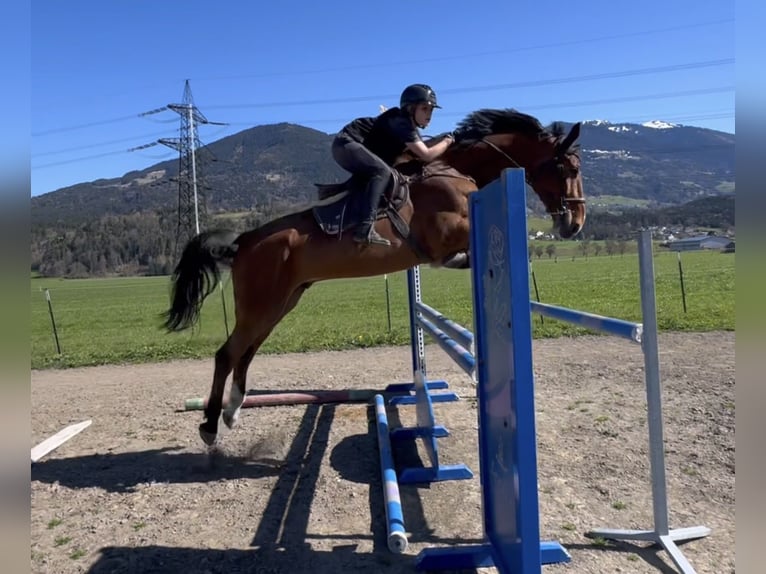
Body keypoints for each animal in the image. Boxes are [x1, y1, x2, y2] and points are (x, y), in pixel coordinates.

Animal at [164, 108, 585, 445]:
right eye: (569, 168)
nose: (575, 224)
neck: (455, 169)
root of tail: (244, 241)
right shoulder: (446, 232)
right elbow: (466, 247)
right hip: (261, 303)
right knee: (227, 353)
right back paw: (210, 426)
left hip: (281, 303)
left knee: (246, 351)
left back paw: (233, 411)